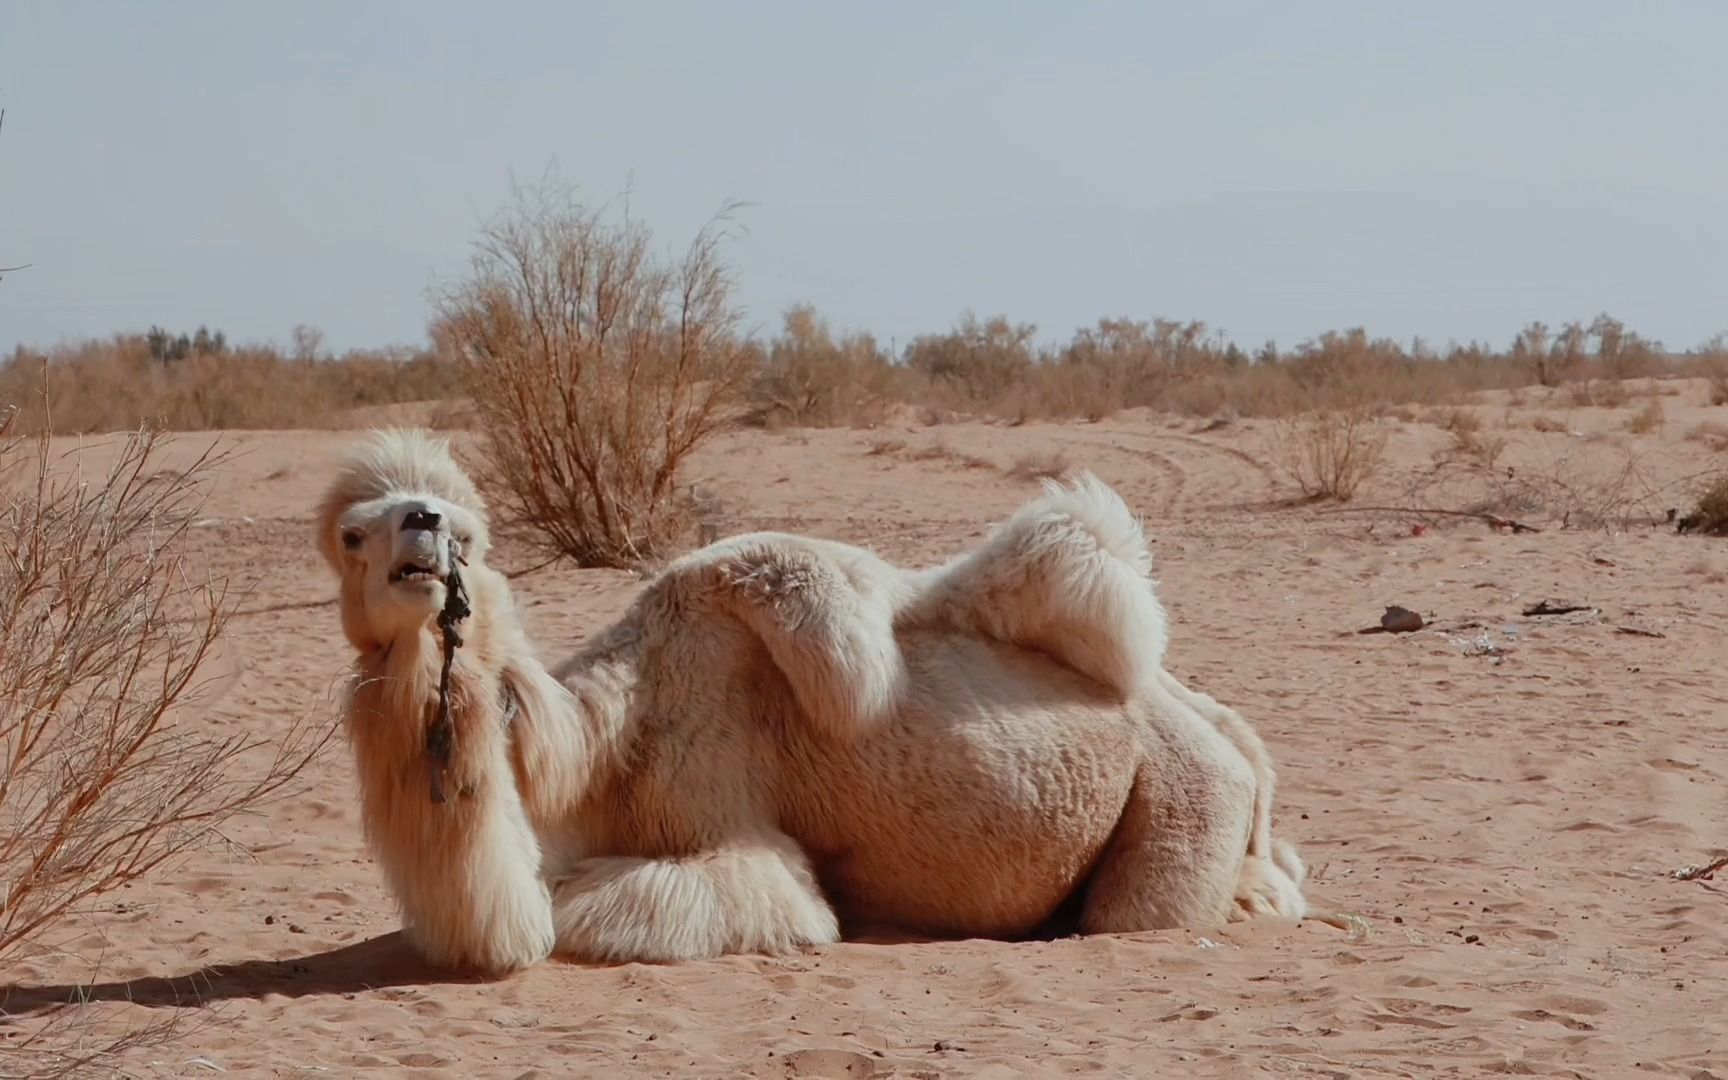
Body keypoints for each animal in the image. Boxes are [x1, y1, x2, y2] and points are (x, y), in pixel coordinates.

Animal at [314, 425, 1306, 974]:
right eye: (353, 535)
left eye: (461, 530)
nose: (423, 524)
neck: (605, 744)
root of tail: (1230, 737)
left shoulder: (727, 816)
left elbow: (602, 907)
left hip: (1182, 792)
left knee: (1144, 912)